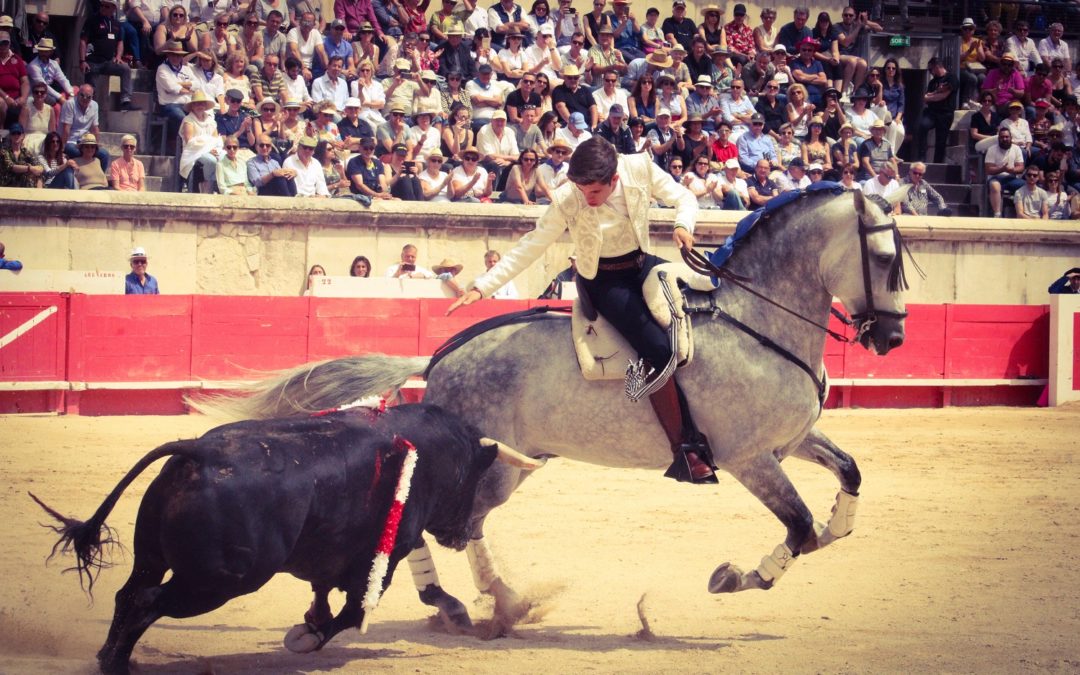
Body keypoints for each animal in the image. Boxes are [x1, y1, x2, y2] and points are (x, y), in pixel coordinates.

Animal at [33, 401, 514, 669]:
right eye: (475, 479)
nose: (462, 534)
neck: (427, 451)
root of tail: (200, 451)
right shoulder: (384, 560)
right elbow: (353, 611)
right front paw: (308, 638)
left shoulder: (329, 556)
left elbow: (323, 593)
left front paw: (310, 623)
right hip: (220, 581)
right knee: (147, 602)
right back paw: (115, 663)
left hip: (152, 556)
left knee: (129, 593)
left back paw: (107, 655)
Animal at [198, 185, 907, 626]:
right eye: (883, 256)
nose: (893, 337)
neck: (757, 319)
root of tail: (439, 360)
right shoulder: (750, 459)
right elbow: (799, 526)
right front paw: (734, 577)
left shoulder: (790, 442)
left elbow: (846, 482)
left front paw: (830, 531)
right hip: (491, 466)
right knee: (451, 527)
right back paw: (493, 605)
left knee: (443, 527)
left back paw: (465, 604)